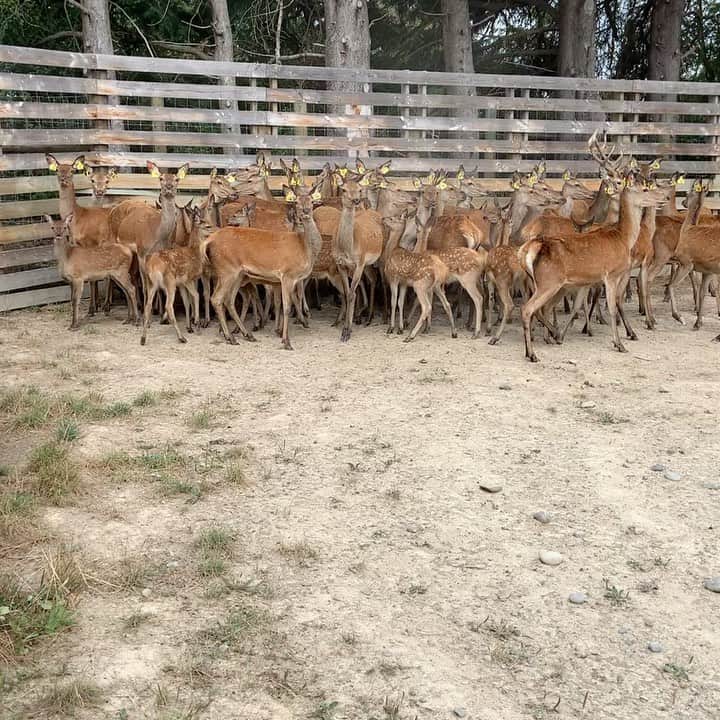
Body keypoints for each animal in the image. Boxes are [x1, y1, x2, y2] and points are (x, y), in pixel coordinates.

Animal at [203, 182, 325, 350]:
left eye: (312, 201)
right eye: (297, 202)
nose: (305, 212)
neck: (305, 249)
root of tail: (208, 241)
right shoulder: (287, 275)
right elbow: (287, 307)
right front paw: (286, 341)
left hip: (238, 275)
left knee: (229, 300)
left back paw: (246, 334)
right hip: (227, 270)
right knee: (216, 298)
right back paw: (231, 337)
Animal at [381, 213, 456, 341]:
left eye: (391, 218)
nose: (382, 218)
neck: (391, 251)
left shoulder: (393, 278)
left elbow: (393, 301)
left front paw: (391, 328)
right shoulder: (404, 283)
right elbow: (400, 302)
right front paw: (400, 328)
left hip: (420, 285)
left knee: (427, 306)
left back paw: (411, 335)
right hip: (436, 287)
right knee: (446, 304)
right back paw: (453, 332)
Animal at [518, 171, 669, 362]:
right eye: (645, 189)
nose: (664, 197)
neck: (623, 239)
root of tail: (528, 249)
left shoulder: (590, 281)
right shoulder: (612, 274)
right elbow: (612, 307)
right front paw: (620, 344)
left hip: (544, 283)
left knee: (539, 308)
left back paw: (544, 340)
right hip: (549, 282)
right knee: (527, 308)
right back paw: (533, 353)